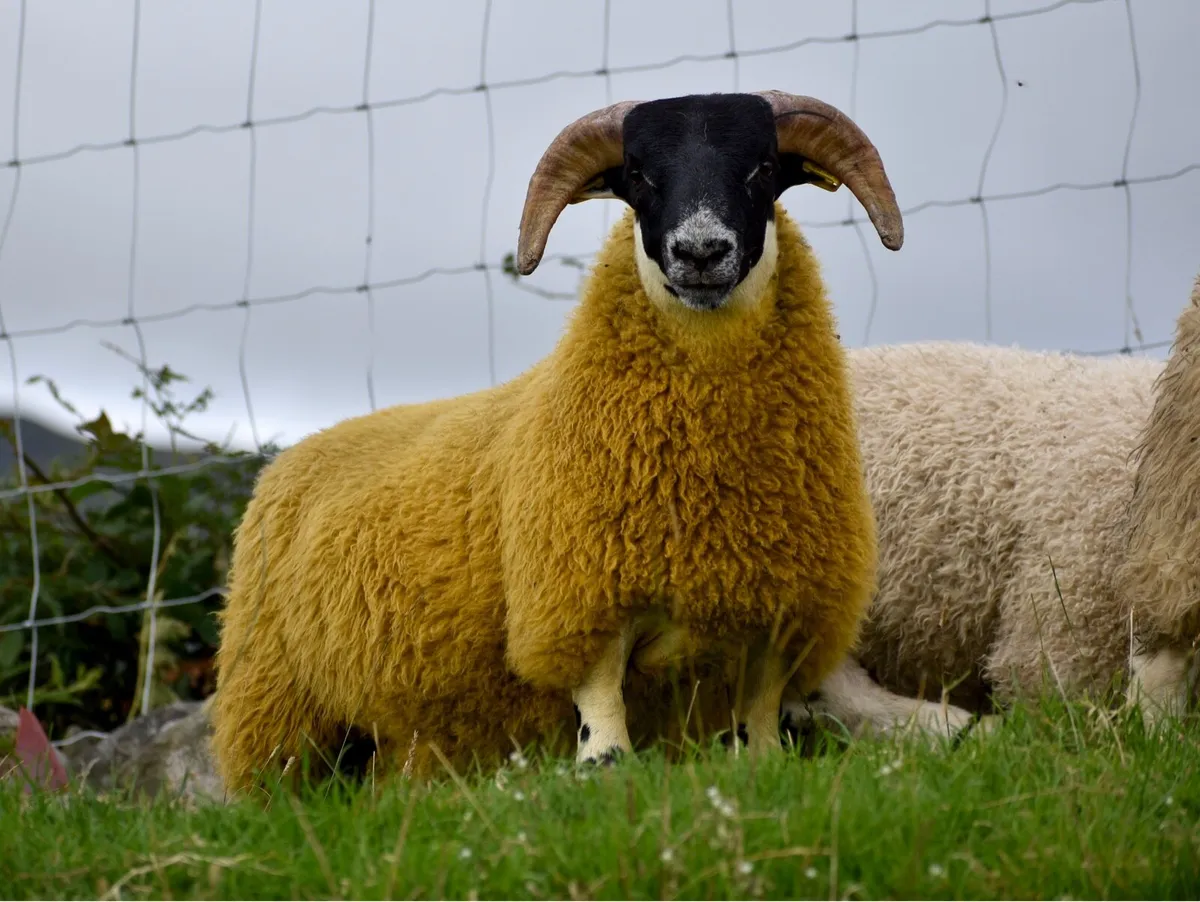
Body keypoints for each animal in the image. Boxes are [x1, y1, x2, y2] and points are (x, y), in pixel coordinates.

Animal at [209, 90, 905, 791]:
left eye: (762, 168)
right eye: (639, 176)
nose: (701, 252)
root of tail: (293, 456)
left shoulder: (778, 618)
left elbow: (758, 731)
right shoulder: (580, 599)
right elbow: (603, 724)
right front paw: (603, 771)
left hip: (396, 738)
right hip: (276, 709)